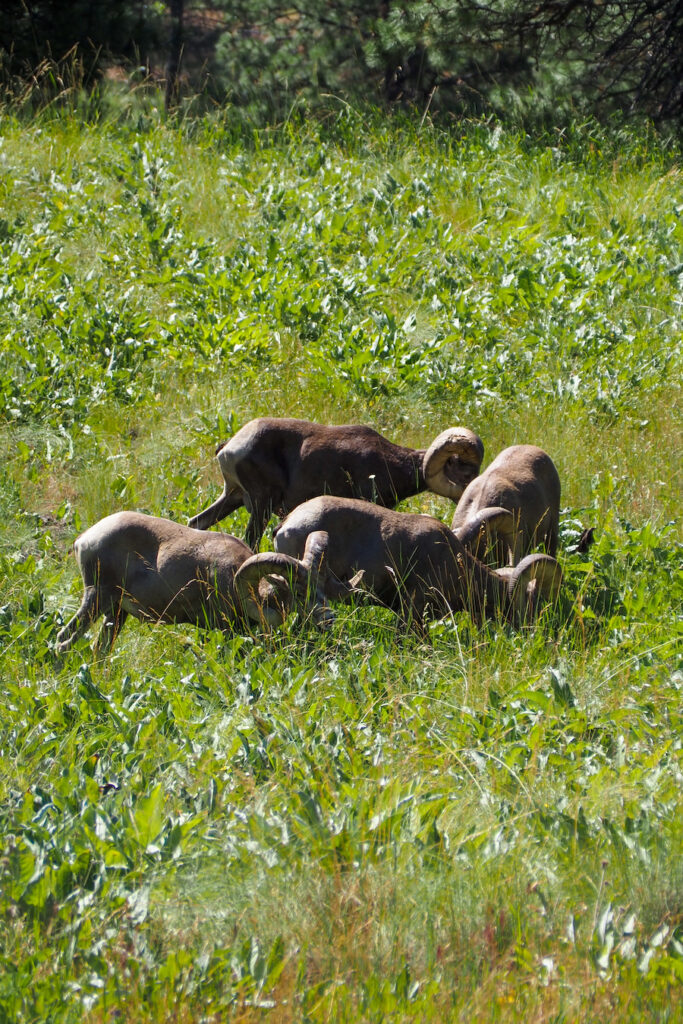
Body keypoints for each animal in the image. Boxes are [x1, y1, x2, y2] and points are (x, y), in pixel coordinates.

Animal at [55, 511, 315, 654]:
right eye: (300, 593)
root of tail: (84, 539)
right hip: (96, 599)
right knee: (62, 641)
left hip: (116, 613)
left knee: (98, 649)